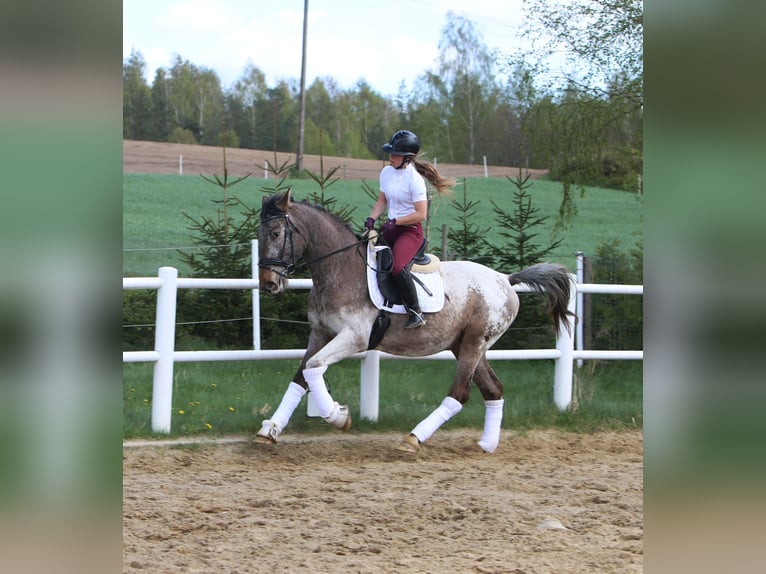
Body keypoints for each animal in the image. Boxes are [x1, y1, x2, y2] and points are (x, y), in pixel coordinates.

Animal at [255, 189, 572, 454]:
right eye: (260, 234)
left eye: (276, 233)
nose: (268, 284)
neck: (339, 270)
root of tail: (505, 279)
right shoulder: (319, 334)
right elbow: (301, 377)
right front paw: (269, 430)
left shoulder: (354, 338)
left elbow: (313, 367)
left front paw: (338, 416)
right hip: (465, 345)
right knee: (493, 388)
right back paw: (486, 444)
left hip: (474, 342)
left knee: (459, 393)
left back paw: (414, 438)